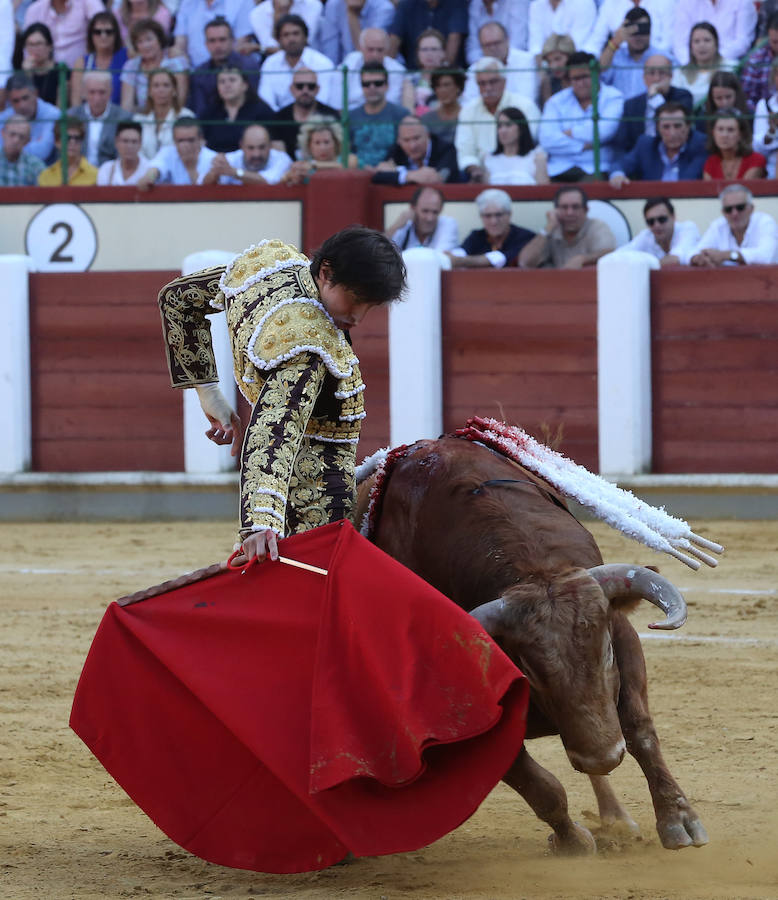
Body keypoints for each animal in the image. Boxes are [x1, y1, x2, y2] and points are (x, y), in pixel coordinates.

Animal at [354, 440, 708, 856]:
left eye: (605, 651)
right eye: (530, 669)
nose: (603, 757)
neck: (535, 570)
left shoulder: (624, 641)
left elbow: (641, 731)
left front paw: (678, 819)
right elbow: (540, 786)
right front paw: (572, 842)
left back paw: (616, 819)